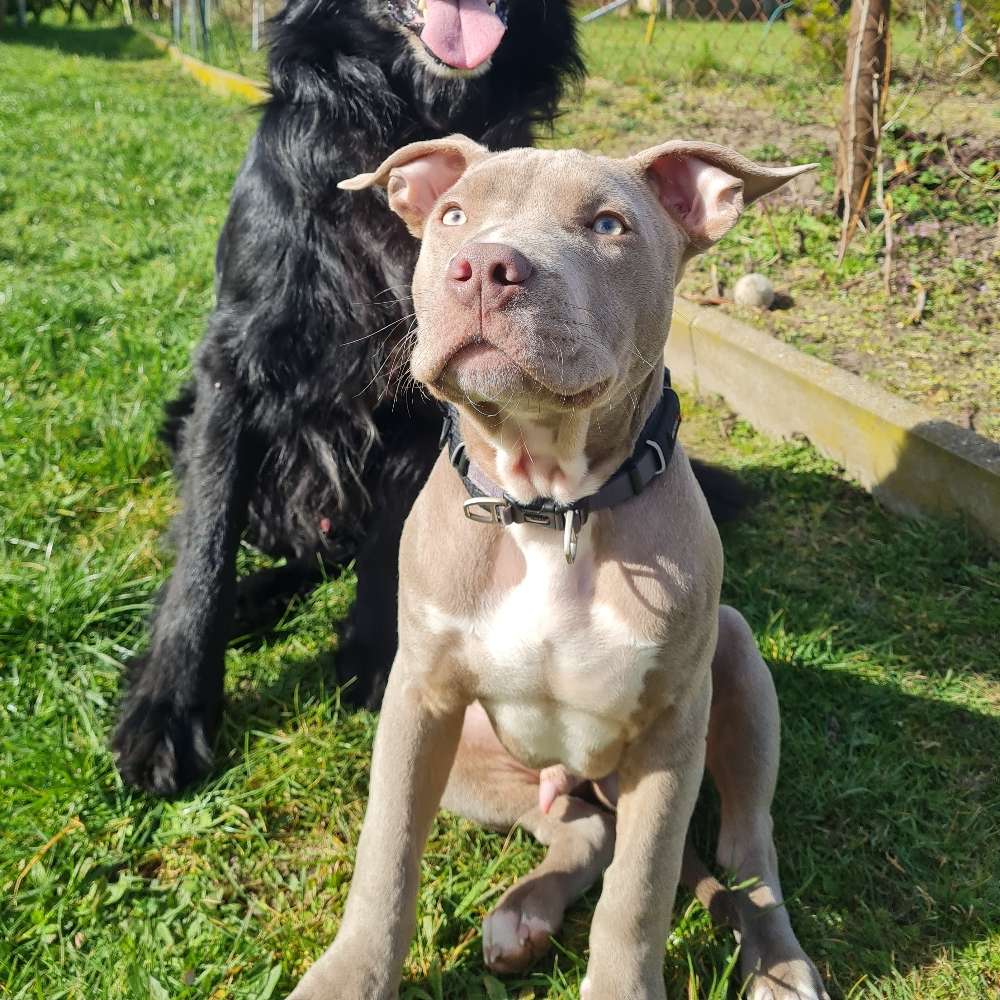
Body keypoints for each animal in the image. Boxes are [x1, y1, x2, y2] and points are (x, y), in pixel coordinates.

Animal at [286, 135, 824, 1000]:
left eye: (608, 224)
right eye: (453, 215)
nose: (482, 266)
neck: (547, 504)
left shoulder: (671, 732)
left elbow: (639, 894)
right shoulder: (416, 698)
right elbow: (386, 852)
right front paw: (352, 973)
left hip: (735, 658)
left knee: (744, 847)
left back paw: (777, 962)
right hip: (475, 757)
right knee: (583, 829)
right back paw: (524, 916)